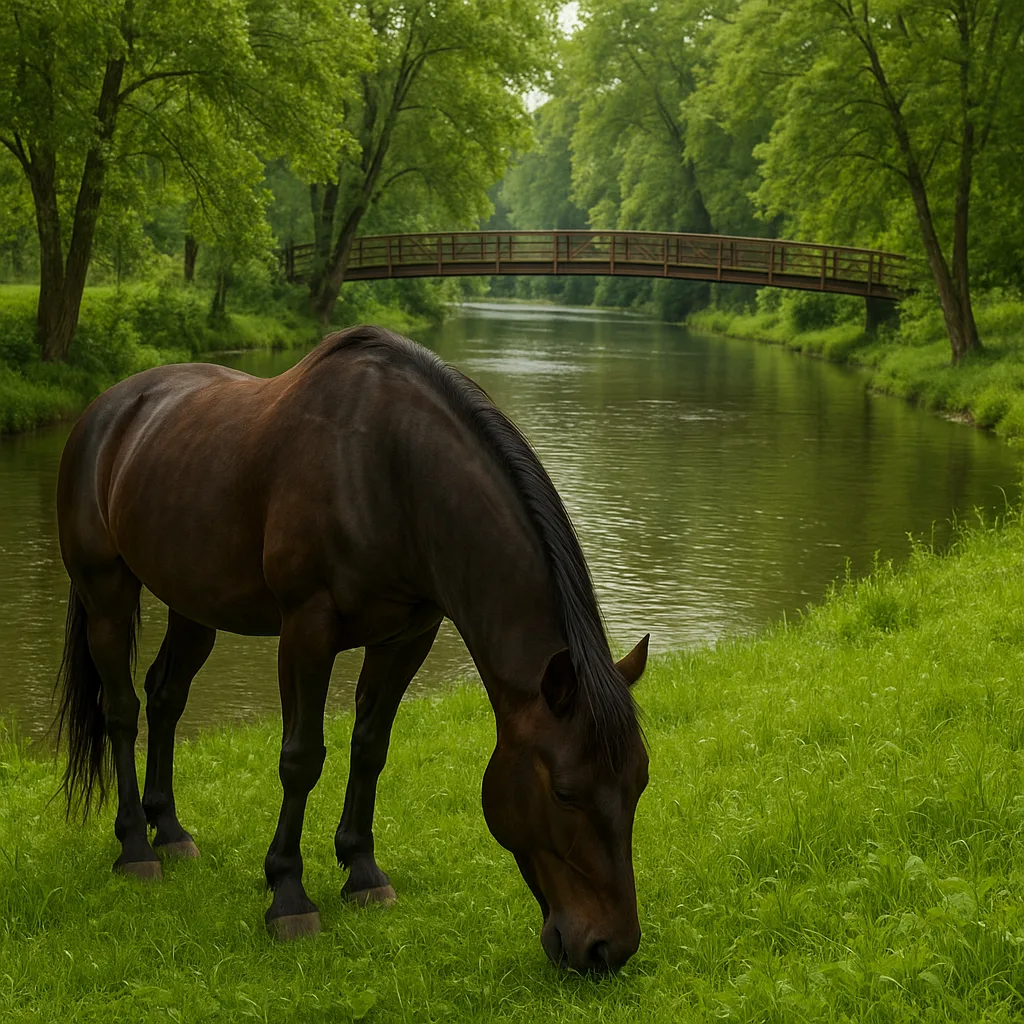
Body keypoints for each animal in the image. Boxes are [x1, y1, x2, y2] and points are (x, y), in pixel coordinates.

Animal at [54, 325, 650, 973]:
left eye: (639, 783)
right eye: (564, 792)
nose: (608, 948)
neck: (389, 472)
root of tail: (107, 408)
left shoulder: (407, 637)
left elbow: (370, 747)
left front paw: (362, 872)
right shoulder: (307, 630)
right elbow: (301, 758)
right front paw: (288, 895)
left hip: (193, 604)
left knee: (165, 698)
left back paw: (170, 830)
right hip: (106, 593)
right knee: (121, 711)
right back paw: (137, 846)